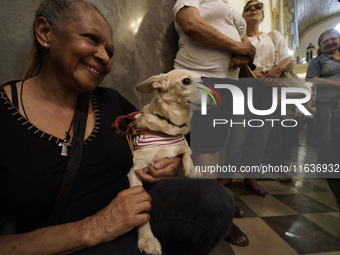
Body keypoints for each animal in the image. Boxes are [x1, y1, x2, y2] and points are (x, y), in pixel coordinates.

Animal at [127, 68, 202, 254]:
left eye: (203, 79)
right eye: (186, 81)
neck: (171, 126)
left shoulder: (182, 147)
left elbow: (187, 153)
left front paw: (191, 169)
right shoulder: (135, 171)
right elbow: (143, 212)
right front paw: (148, 239)